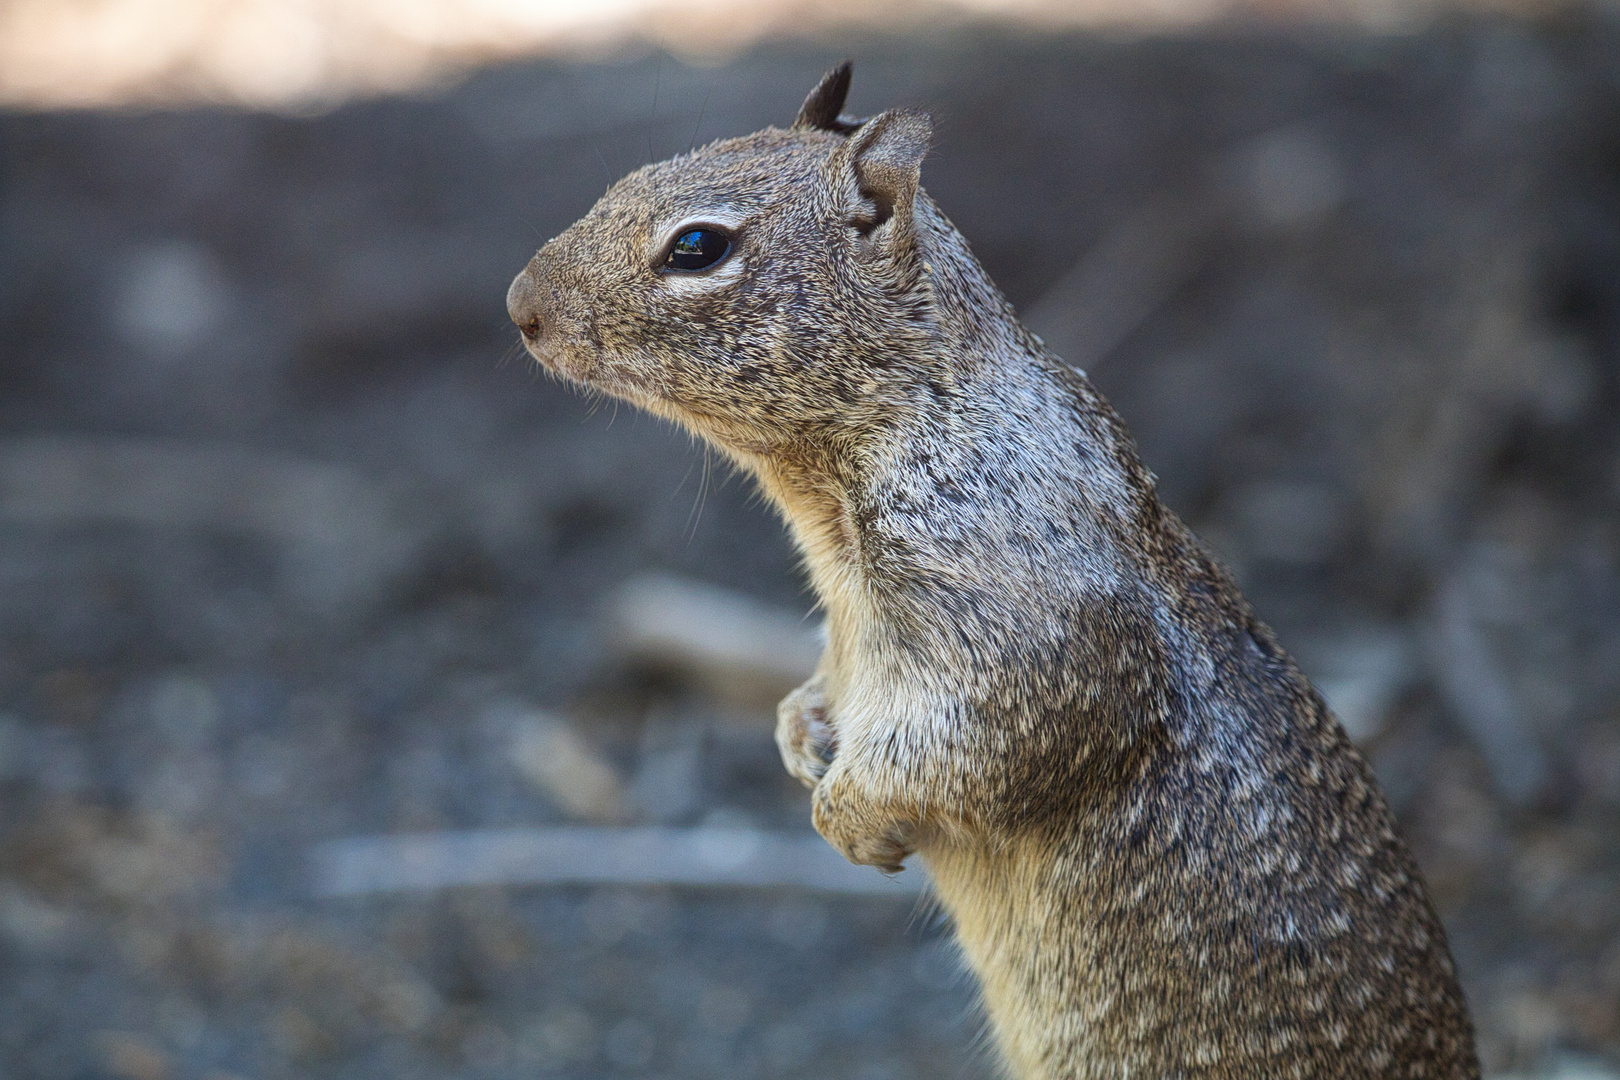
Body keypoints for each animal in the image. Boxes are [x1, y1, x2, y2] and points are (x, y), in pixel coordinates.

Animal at [505, 65, 1483, 1080]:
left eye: (698, 246)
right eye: (633, 175)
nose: (519, 304)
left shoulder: (1023, 631)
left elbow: (979, 744)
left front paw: (846, 811)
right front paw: (799, 729)